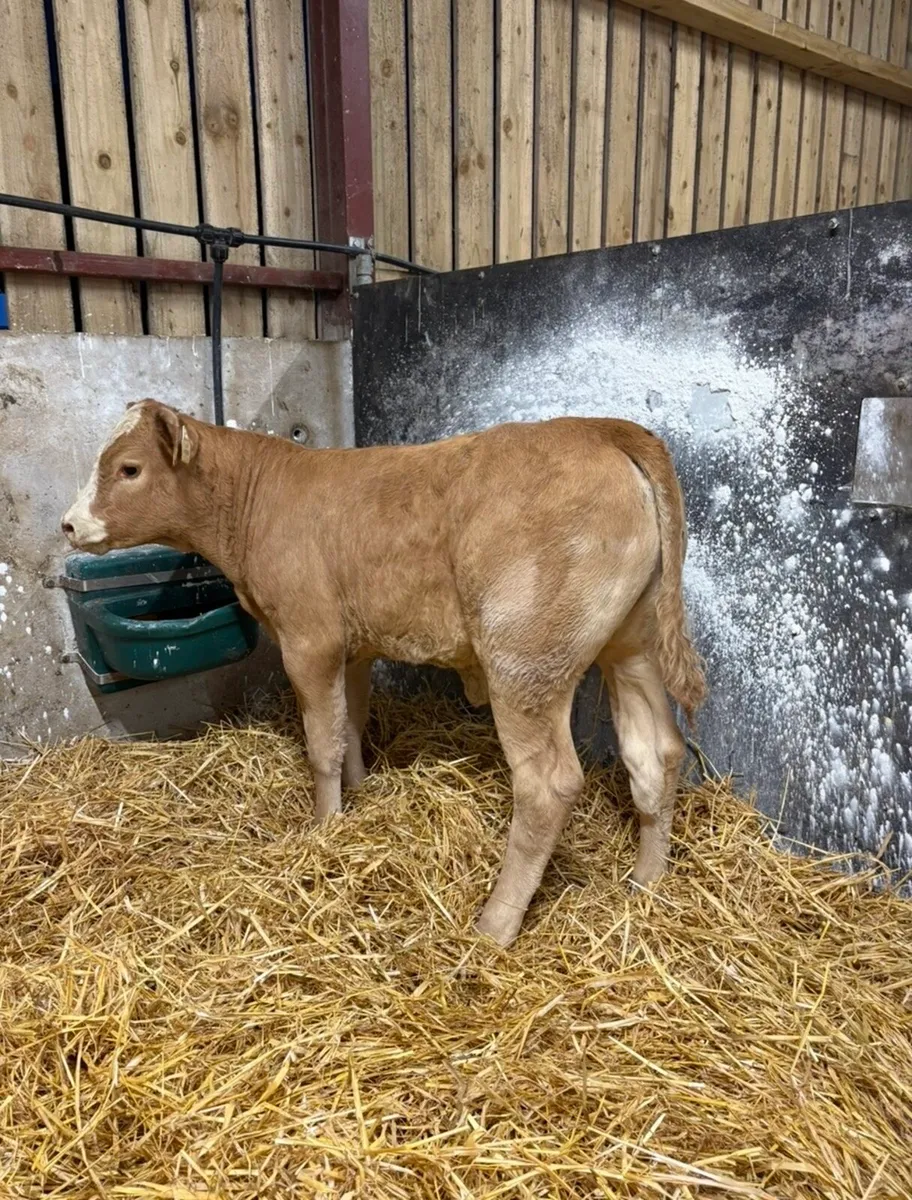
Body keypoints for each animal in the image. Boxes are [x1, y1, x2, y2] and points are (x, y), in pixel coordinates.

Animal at [62, 401, 706, 946]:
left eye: (128, 468)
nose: (68, 524)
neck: (257, 500)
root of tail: (598, 428)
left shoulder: (310, 637)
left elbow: (321, 743)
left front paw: (324, 827)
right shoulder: (352, 646)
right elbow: (349, 724)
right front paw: (360, 793)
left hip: (525, 659)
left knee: (549, 784)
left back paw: (494, 926)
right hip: (633, 644)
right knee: (656, 750)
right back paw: (647, 882)